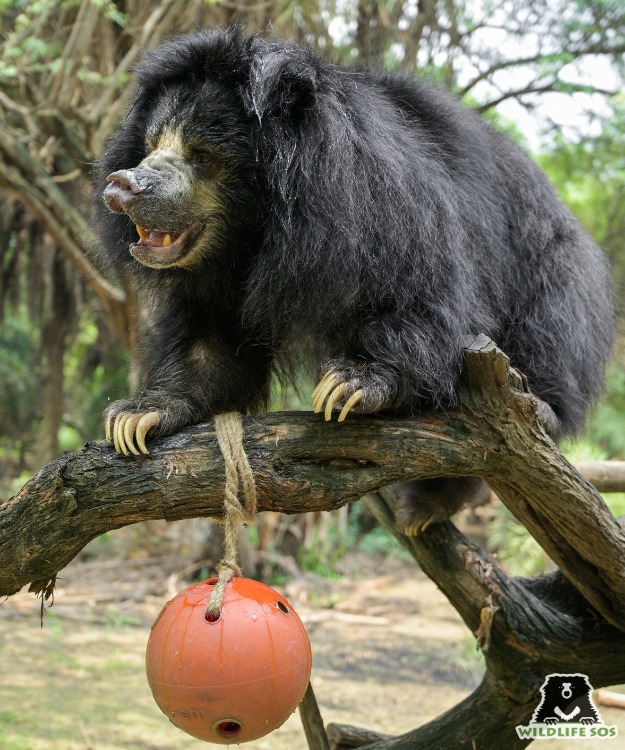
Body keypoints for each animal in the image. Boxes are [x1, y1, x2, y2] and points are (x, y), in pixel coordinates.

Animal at [100, 30, 612, 536]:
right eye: (150, 144)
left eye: (202, 155)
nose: (122, 185)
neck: (254, 235)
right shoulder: (218, 285)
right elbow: (211, 349)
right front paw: (136, 416)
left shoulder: (388, 211)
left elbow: (422, 300)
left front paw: (350, 384)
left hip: (549, 265)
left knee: (550, 334)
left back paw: (523, 424)